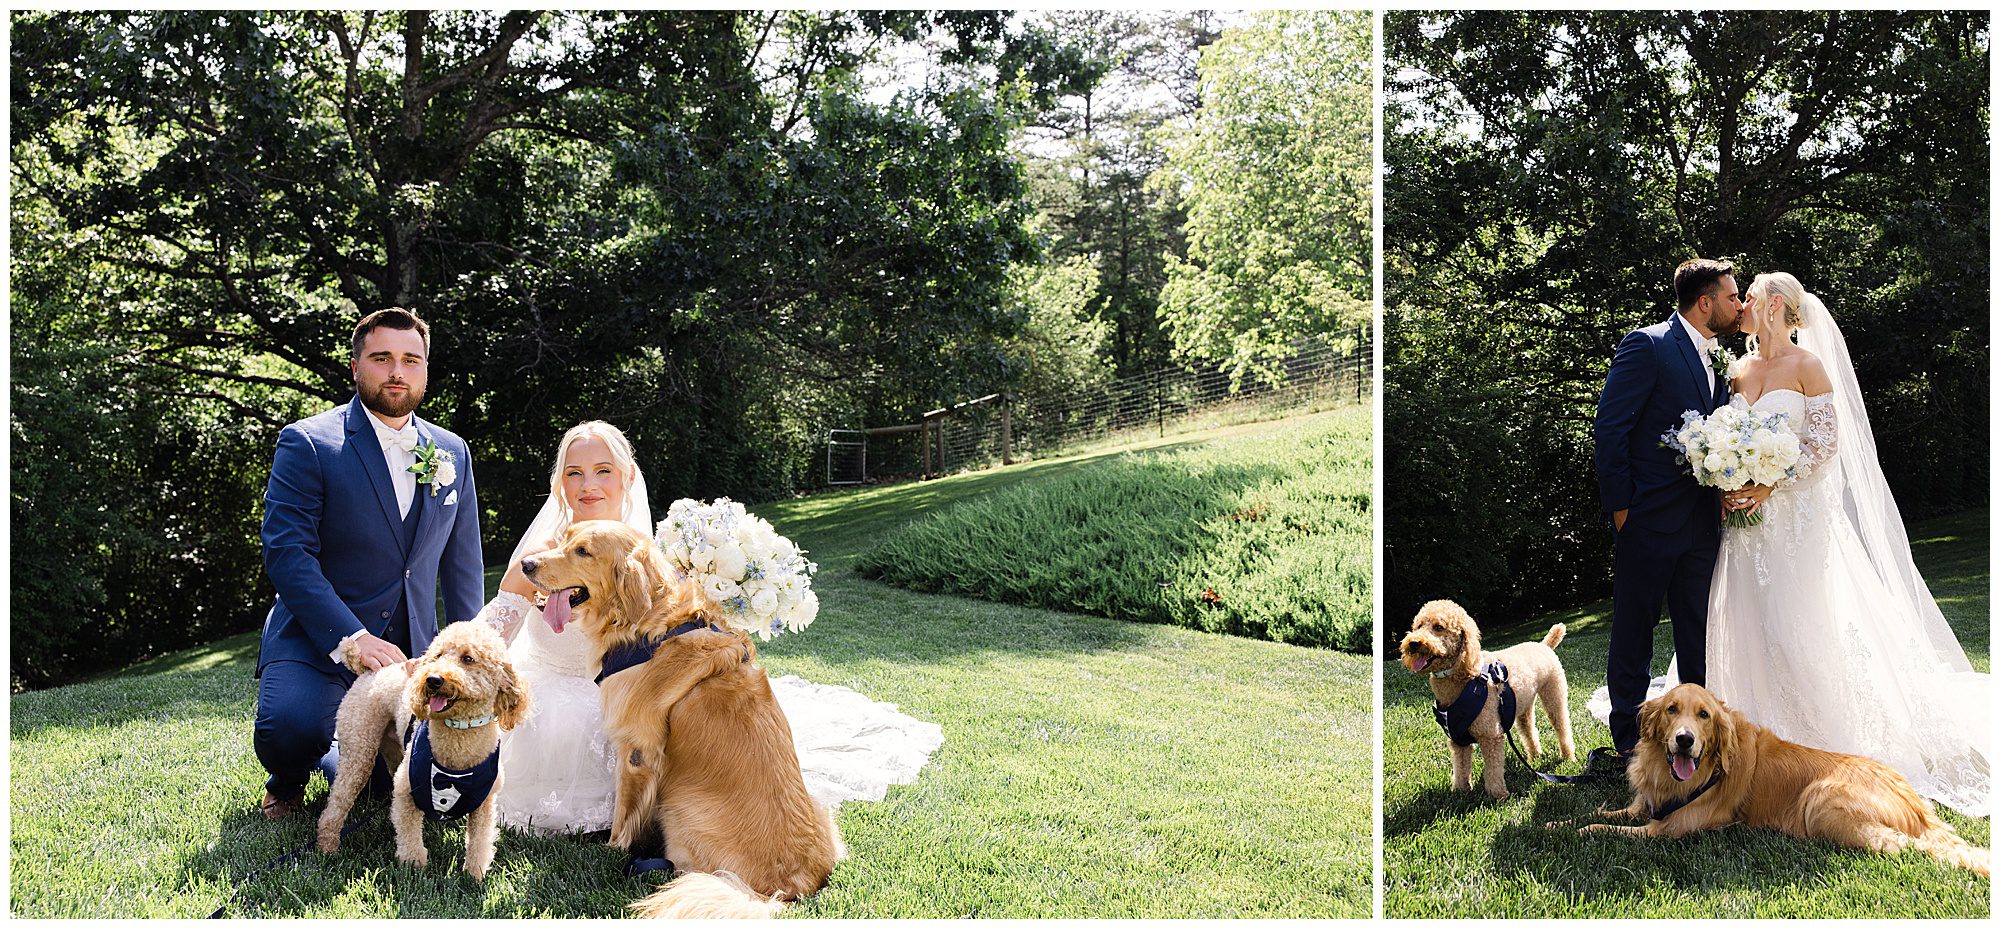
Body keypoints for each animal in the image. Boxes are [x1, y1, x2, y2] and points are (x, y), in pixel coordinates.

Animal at [316, 620, 528, 880]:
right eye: (437, 656)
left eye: (468, 658)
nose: (433, 679)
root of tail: (368, 670)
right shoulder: (406, 789)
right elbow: (409, 835)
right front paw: (413, 867)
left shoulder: (485, 804)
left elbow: (480, 840)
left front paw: (474, 875)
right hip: (359, 748)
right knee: (338, 801)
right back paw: (327, 845)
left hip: (393, 748)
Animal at [1400, 600, 1568, 796]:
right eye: (1418, 626)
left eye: (1439, 627)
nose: (1413, 643)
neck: (1463, 673)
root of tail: (1544, 645)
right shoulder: (1458, 740)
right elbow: (1461, 767)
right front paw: (1460, 791)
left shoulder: (1490, 736)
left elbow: (1493, 769)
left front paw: (1498, 795)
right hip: (1523, 705)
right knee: (1529, 729)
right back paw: (1534, 757)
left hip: (1554, 693)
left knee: (1561, 726)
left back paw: (1568, 756)